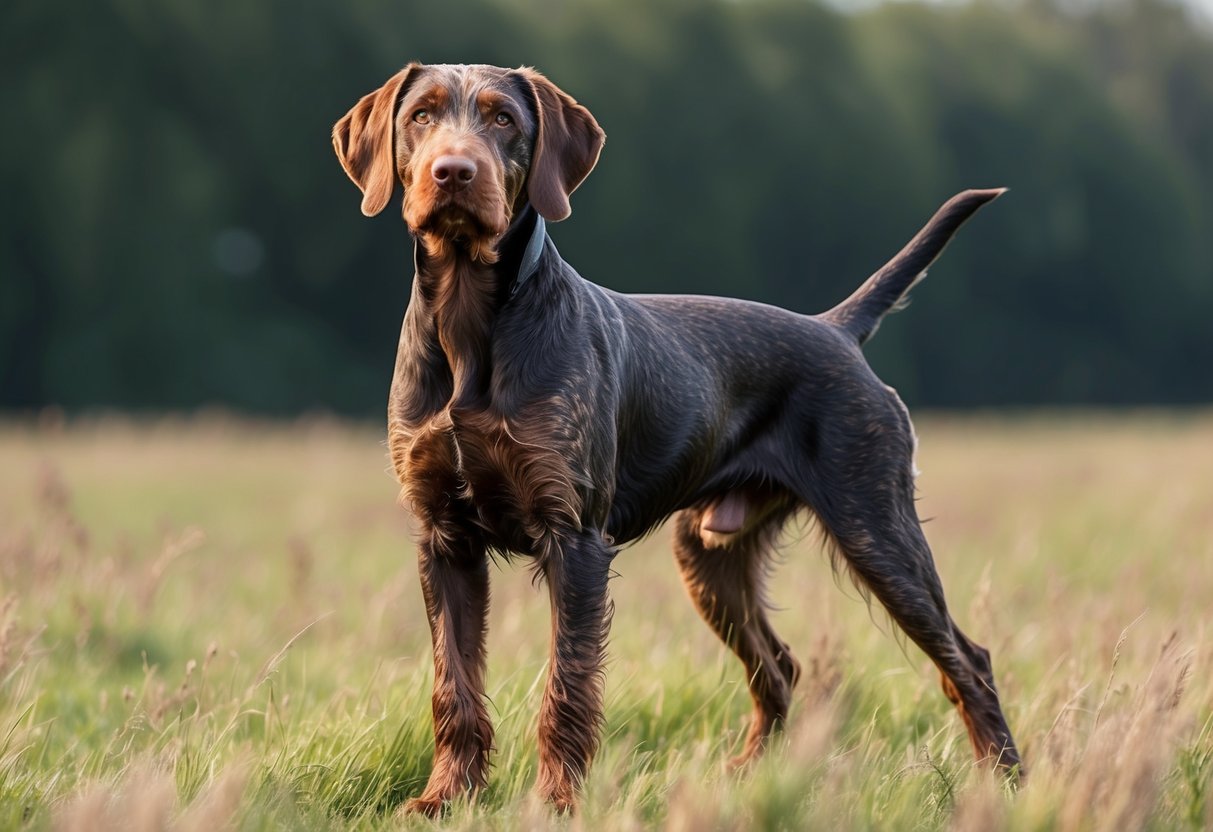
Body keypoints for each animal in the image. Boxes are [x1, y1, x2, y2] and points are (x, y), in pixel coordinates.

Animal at [332, 63, 1023, 815]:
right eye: (421, 117)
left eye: (503, 120)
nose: (454, 171)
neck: (470, 320)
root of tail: (836, 329)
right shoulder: (444, 539)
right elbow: (452, 684)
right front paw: (444, 797)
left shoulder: (574, 539)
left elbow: (566, 686)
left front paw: (557, 803)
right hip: (710, 555)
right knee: (779, 665)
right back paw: (748, 778)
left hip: (877, 526)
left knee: (967, 661)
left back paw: (1004, 784)